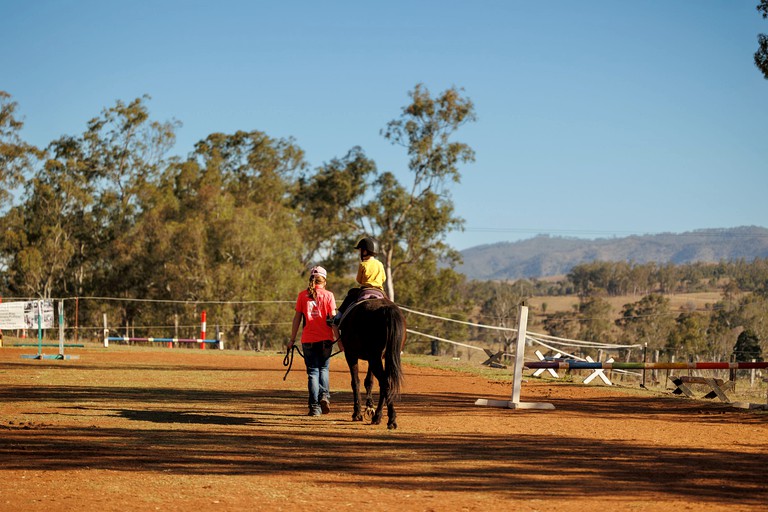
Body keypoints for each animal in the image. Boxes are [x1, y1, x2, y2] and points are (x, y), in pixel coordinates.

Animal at [340, 298, 404, 430]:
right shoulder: (372, 359)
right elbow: (369, 381)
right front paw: (369, 407)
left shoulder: (350, 355)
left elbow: (356, 382)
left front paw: (357, 413)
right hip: (383, 358)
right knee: (385, 383)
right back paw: (379, 416)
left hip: (373, 358)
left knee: (385, 383)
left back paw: (389, 419)